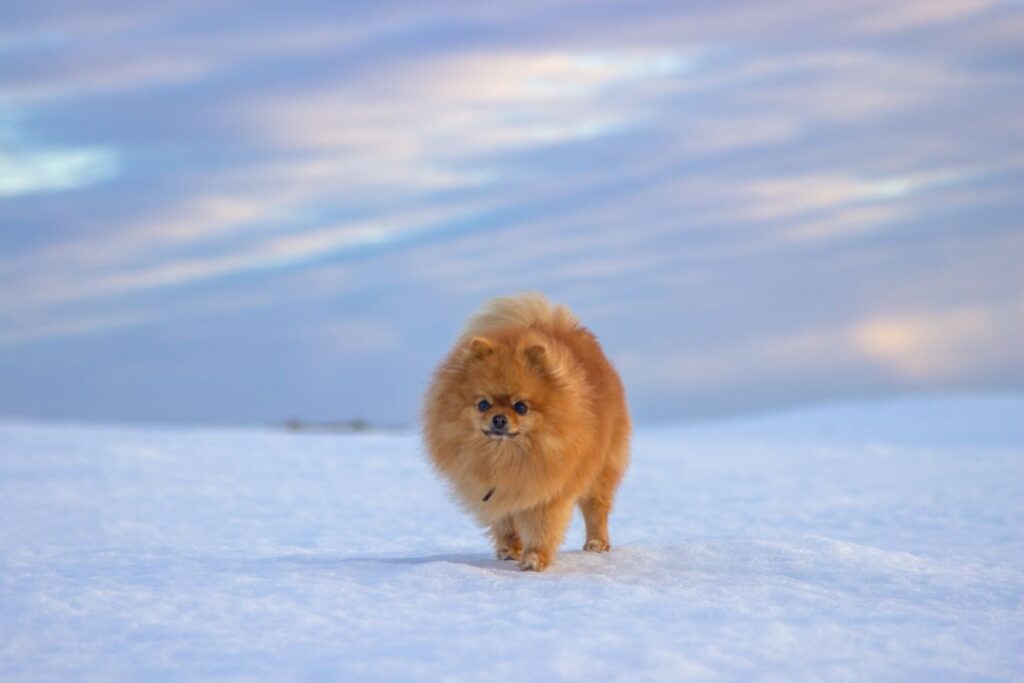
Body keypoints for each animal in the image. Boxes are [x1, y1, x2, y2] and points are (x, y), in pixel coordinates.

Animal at [419, 294, 626, 573]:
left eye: (521, 407)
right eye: (483, 404)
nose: (499, 419)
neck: (505, 456)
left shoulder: (548, 492)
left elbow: (541, 529)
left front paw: (533, 560)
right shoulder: (496, 493)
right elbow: (504, 524)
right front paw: (509, 551)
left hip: (601, 471)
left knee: (596, 509)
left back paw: (597, 544)